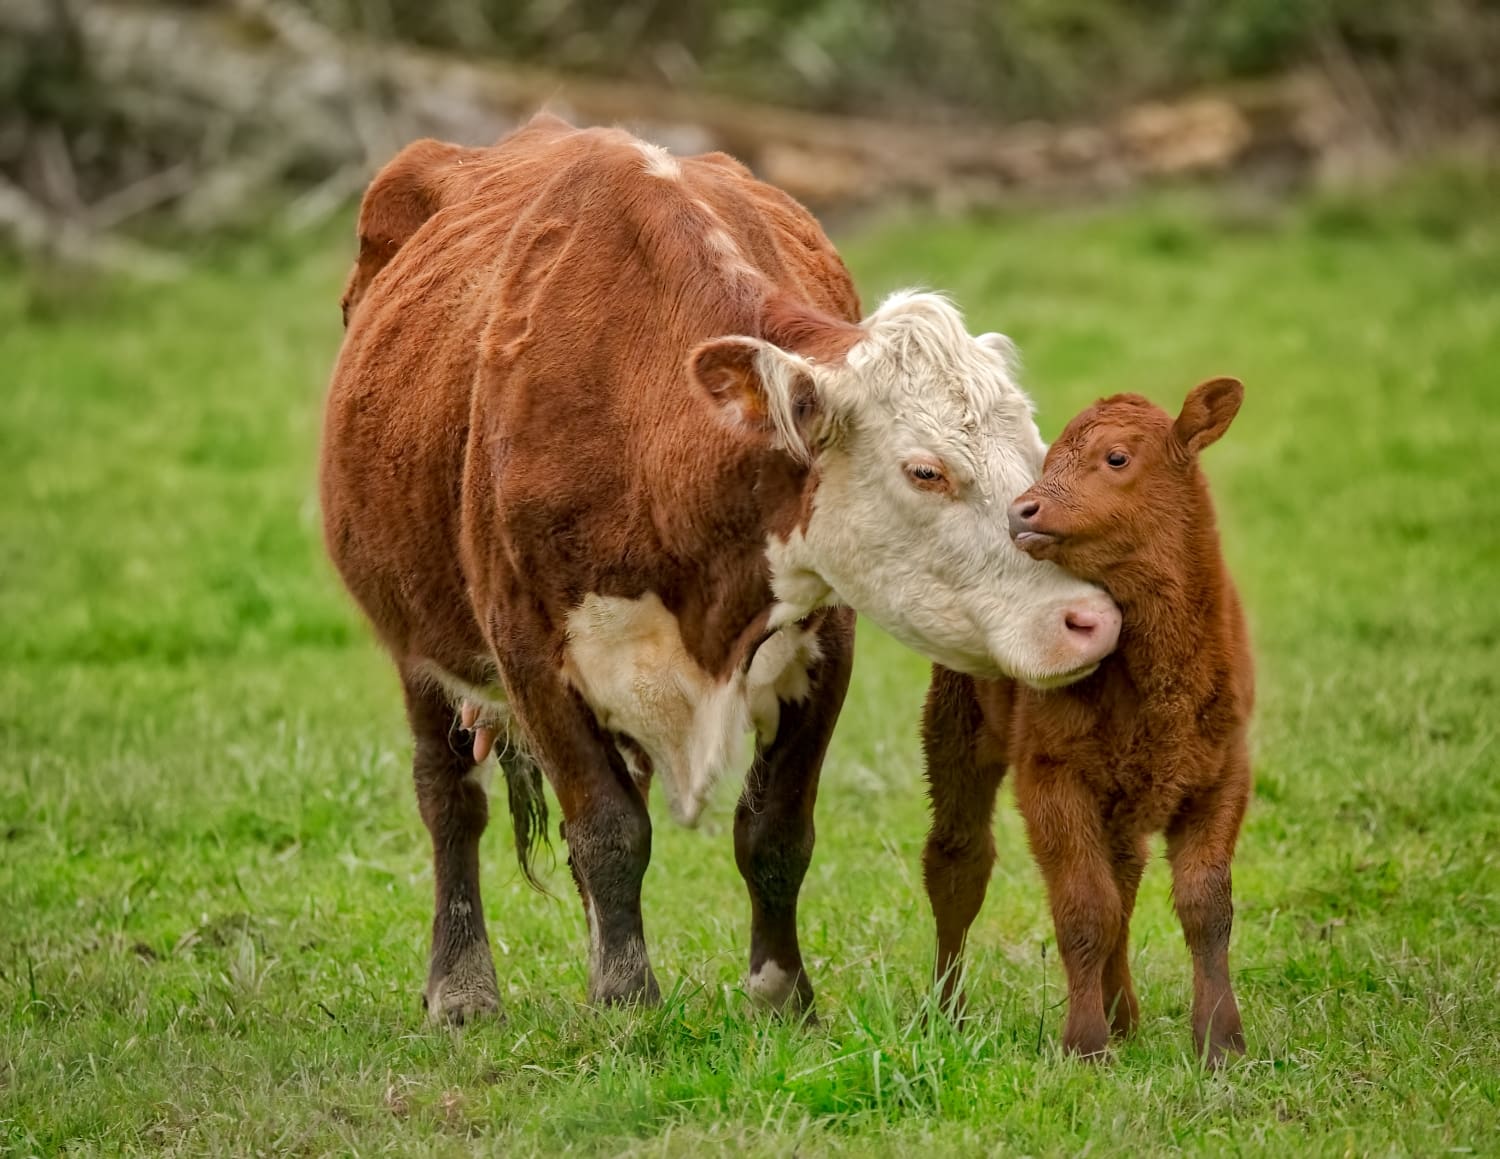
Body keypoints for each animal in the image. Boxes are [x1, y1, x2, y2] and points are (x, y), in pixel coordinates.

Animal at [322, 115, 1122, 1019]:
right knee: (449, 796)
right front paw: (627, 999)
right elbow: (608, 828)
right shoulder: (528, 648)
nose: (1089, 619)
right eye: (925, 470)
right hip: (418, 640)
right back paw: (461, 986)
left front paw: (780, 993)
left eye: (1034, 455)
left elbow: (772, 829)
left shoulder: (825, 640)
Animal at [912, 374, 1254, 1061]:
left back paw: (1125, 1016)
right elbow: (1083, 908)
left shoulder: (1223, 772)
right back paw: (947, 1014)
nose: (1022, 510)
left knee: (1124, 878)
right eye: (1046, 462)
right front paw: (1084, 1044)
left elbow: (1205, 907)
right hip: (956, 728)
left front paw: (1220, 1042)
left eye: (1117, 457)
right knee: (959, 864)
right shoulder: (1051, 774)